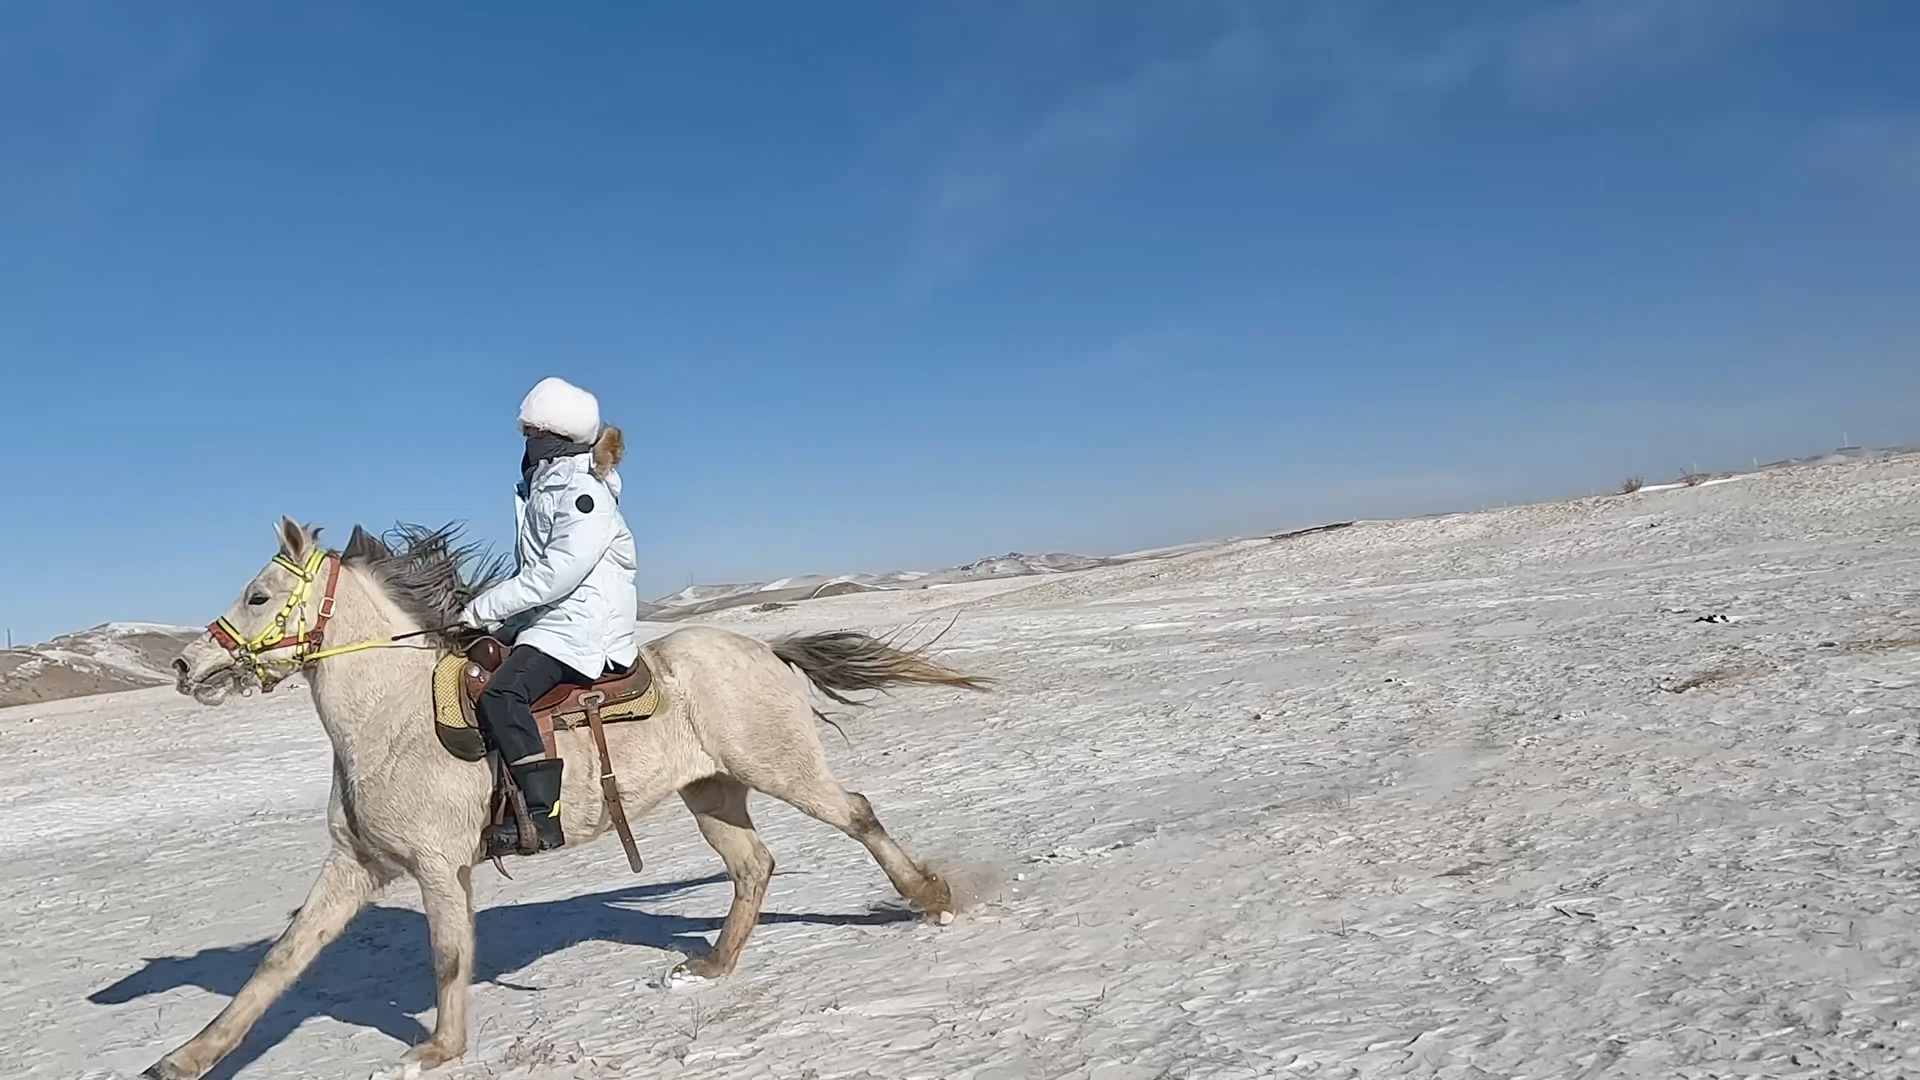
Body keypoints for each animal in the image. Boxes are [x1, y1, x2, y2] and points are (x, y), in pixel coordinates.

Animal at [145, 518, 990, 1068]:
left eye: (258, 596)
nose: (187, 669)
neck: (389, 718)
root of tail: (764, 649)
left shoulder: (437, 867)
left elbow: (447, 956)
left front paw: (437, 1050)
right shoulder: (356, 866)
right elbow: (280, 962)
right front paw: (186, 1057)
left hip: (781, 768)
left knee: (857, 815)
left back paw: (933, 898)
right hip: (713, 794)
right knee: (754, 866)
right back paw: (709, 968)